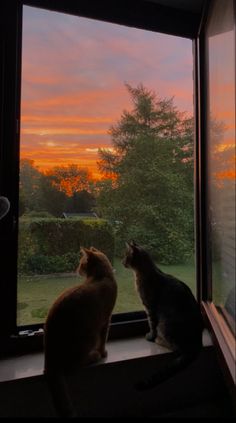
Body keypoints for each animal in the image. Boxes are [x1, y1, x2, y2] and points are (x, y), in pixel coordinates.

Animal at [43, 248, 117, 418]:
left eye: (81, 264)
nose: (77, 269)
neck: (102, 276)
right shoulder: (106, 320)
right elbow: (103, 339)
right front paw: (103, 352)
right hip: (89, 336)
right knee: (74, 365)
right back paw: (94, 355)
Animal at [123, 242, 203, 390]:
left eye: (126, 256)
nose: (122, 262)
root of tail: (196, 344)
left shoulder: (149, 308)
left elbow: (151, 325)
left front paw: (150, 337)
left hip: (165, 325)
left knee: (176, 348)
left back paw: (158, 340)